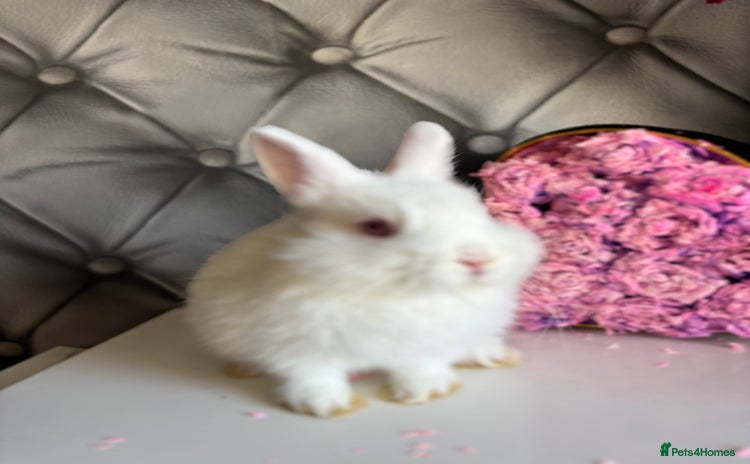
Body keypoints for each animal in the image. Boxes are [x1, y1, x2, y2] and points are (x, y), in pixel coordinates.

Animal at [184, 121, 543, 418]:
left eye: (475, 211)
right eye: (376, 227)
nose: (477, 259)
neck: (397, 296)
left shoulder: (427, 345)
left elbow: (420, 366)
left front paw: (428, 390)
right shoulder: (297, 347)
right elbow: (313, 375)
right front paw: (328, 406)